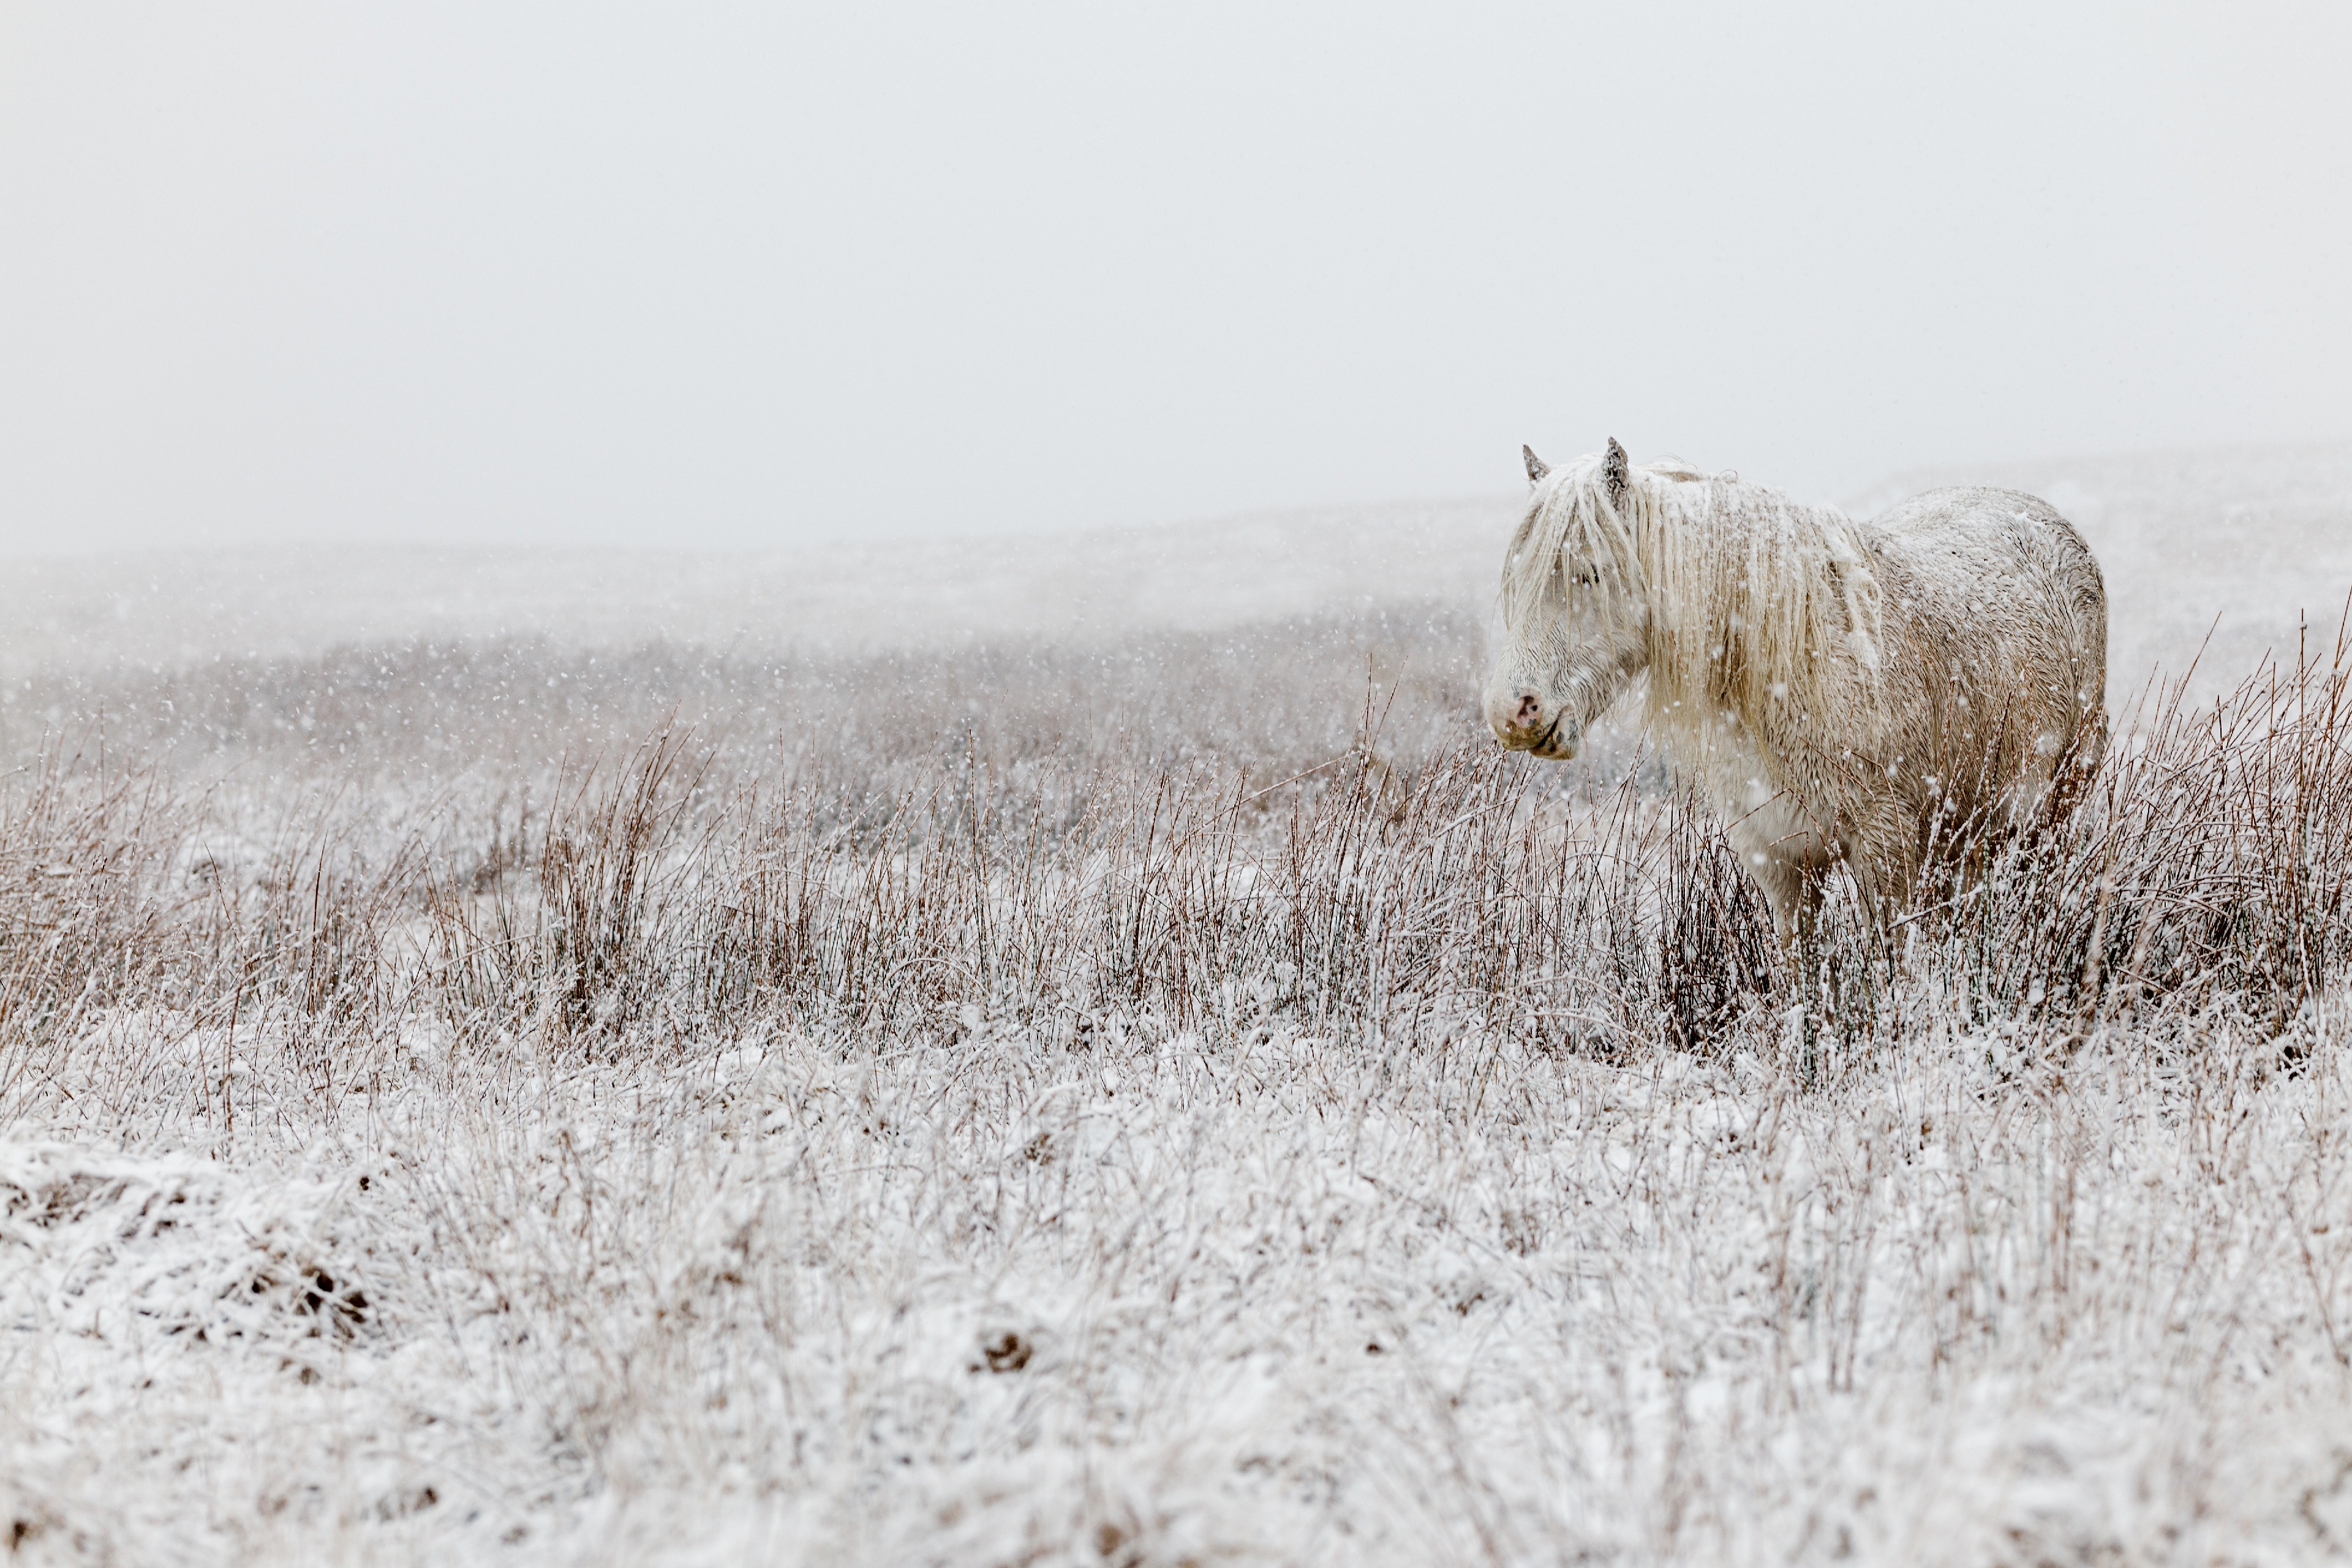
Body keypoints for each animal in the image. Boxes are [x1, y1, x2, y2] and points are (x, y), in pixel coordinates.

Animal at [1486, 442, 2117, 949]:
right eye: (1514, 578)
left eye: (1591, 572)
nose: (1513, 713)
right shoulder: (1780, 863)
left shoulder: (1886, 850)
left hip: (2051, 812)